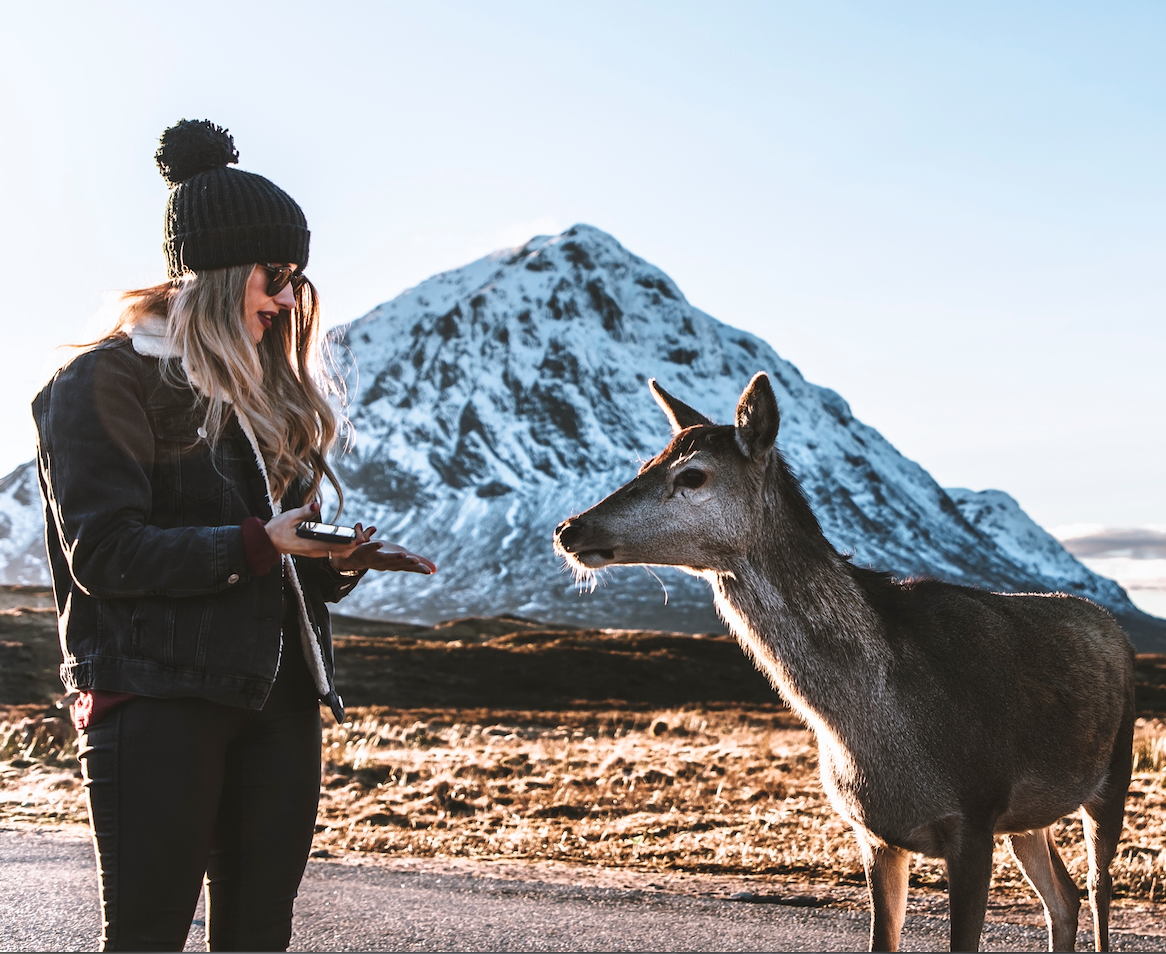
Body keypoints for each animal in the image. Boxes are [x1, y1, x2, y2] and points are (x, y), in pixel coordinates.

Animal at [550, 370, 1133, 951]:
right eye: (644, 465)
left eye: (692, 475)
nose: (569, 529)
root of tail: (1114, 626)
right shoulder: (874, 832)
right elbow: (883, 939)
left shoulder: (974, 810)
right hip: (1026, 818)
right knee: (1062, 895)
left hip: (1113, 771)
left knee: (1097, 889)